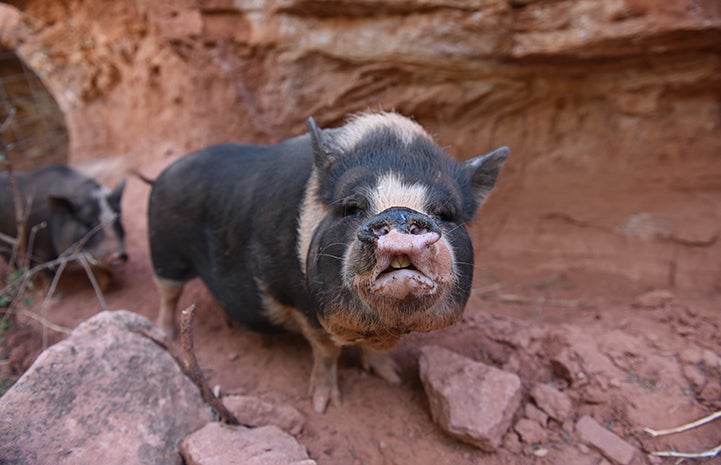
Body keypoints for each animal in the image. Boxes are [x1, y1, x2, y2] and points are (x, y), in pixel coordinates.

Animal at [148, 111, 506, 410]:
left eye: (445, 213)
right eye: (352, 207)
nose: (400, 214)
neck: (382, 327)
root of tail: (163, 173)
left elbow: (379, 353)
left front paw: (392, 378)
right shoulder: (303, 304)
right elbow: (326, 352)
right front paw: (325, 406)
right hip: (165, 251)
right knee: (168, 294)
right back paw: (163, 335)